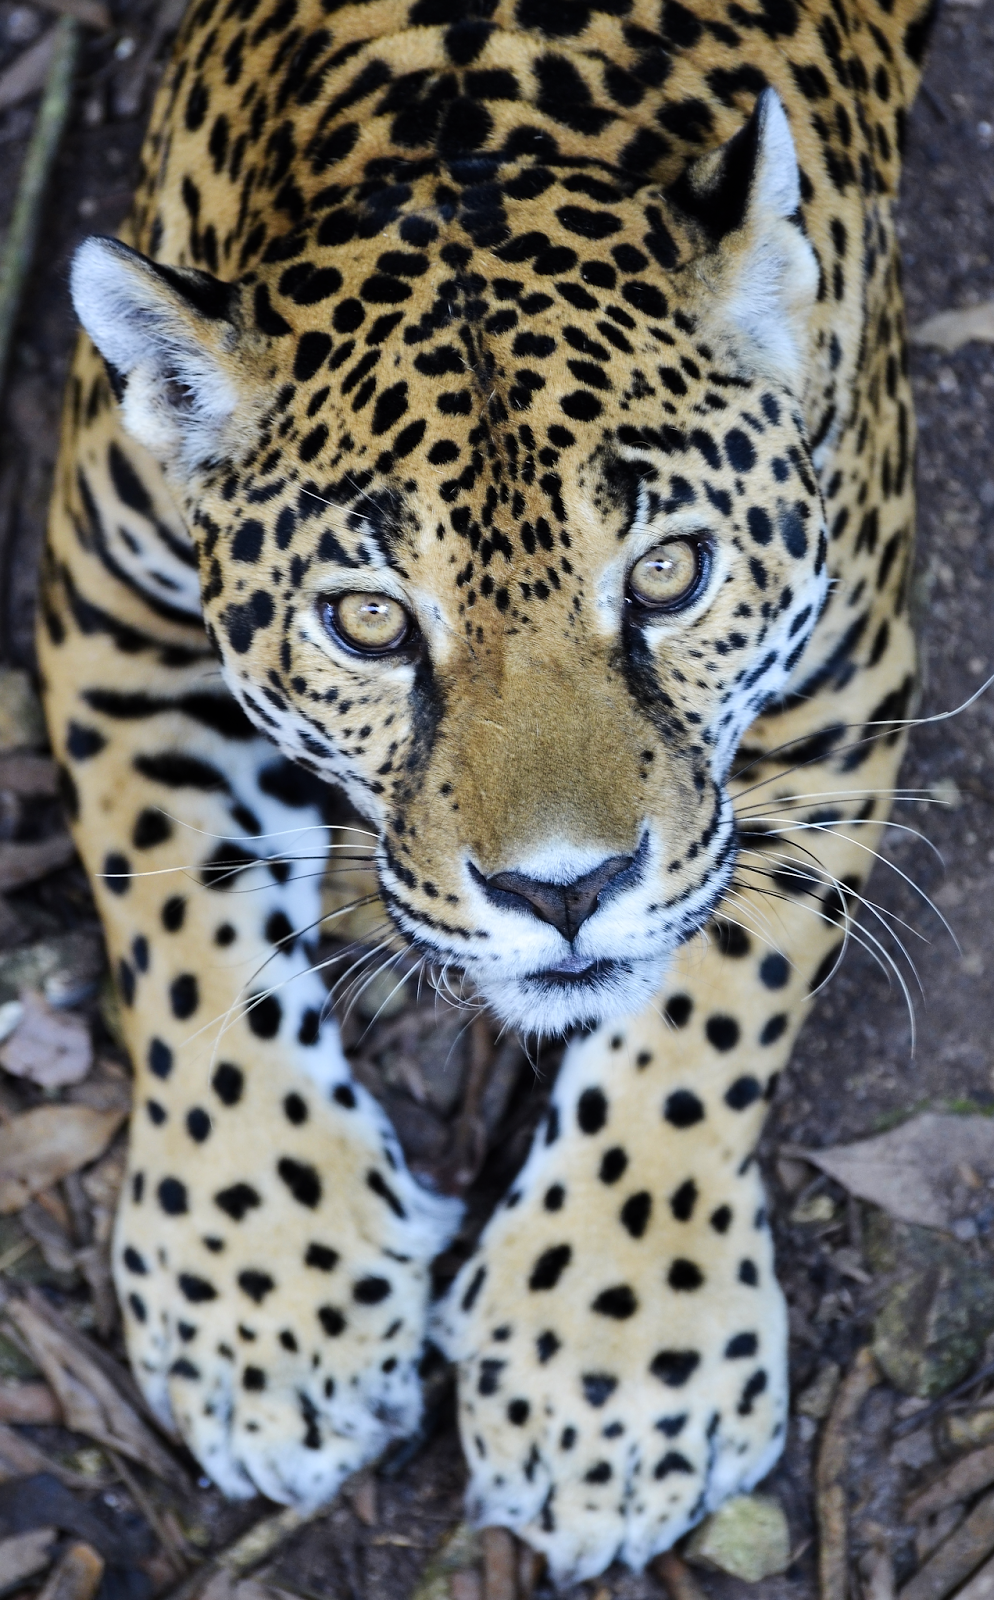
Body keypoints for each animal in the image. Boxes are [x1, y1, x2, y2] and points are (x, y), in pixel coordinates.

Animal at [36, 0, 933, 1577]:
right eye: (369, 622)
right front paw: (264, 1291)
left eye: (668, 572)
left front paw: (613, 1364)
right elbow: (182, 925)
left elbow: (717, 992)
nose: (560, 892)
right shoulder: (109, 599)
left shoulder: (850, 664)